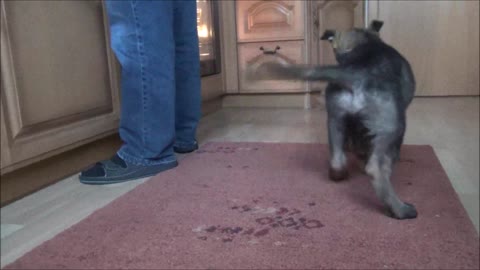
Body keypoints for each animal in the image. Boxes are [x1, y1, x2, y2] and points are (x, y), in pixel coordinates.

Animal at [251, 21, 416, 219]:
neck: (366, 44)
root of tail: (356, 71)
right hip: (391, 125)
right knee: (376, 167)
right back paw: (400, 208)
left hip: (335, 120)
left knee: (337, 159)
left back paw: (341, 172)